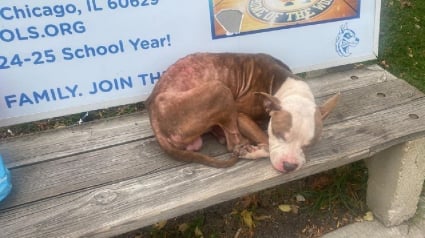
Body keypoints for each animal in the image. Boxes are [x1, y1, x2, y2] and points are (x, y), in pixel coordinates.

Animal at [145, 53, 338, 172]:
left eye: (309, 145)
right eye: (279, 135)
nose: (289, 166)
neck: (286, 85)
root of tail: (153, 115)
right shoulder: (241, 116)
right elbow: (266, 141)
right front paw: (253, 151)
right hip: (220, 89)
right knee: (233, 143)